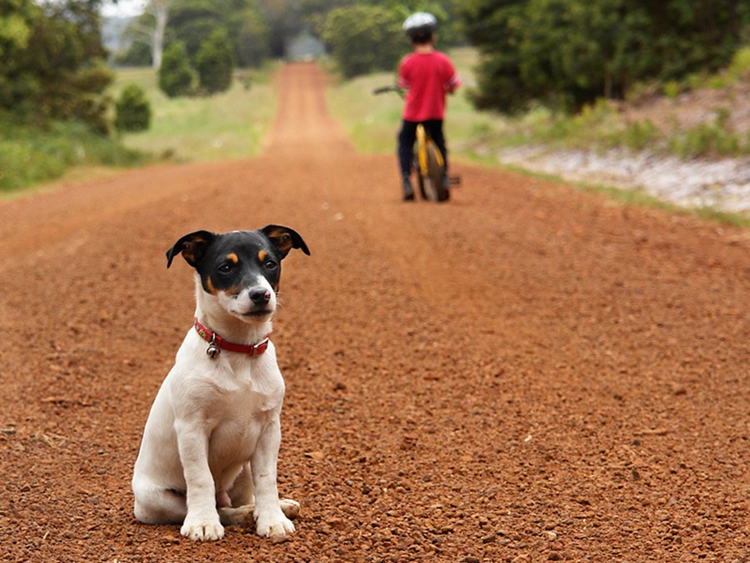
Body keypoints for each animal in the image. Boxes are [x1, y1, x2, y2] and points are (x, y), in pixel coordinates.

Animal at [133, 226, 312, 540]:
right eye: (225, 268)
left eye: (270, 264)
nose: (261, 295)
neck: (238, 351)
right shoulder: (192, 429)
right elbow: (200, 478)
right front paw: (203, 523)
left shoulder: (269, 429)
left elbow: (267, 478)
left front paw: (272, 519)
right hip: (157, 500)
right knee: (219, 507)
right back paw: (232, 515)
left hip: (243, 469)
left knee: (241, 497)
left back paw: (269, 508)